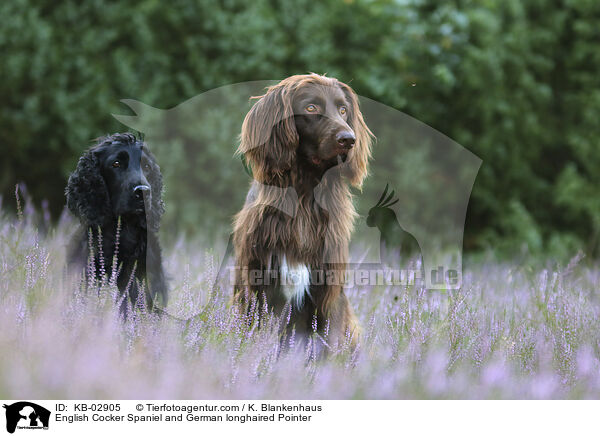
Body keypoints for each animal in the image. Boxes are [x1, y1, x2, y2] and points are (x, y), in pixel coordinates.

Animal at [232, 74, 372, 348]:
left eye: (343, 110)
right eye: (311, 107)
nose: (349, 139)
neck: (304, 197)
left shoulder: (328, 292)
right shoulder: (255, 287)